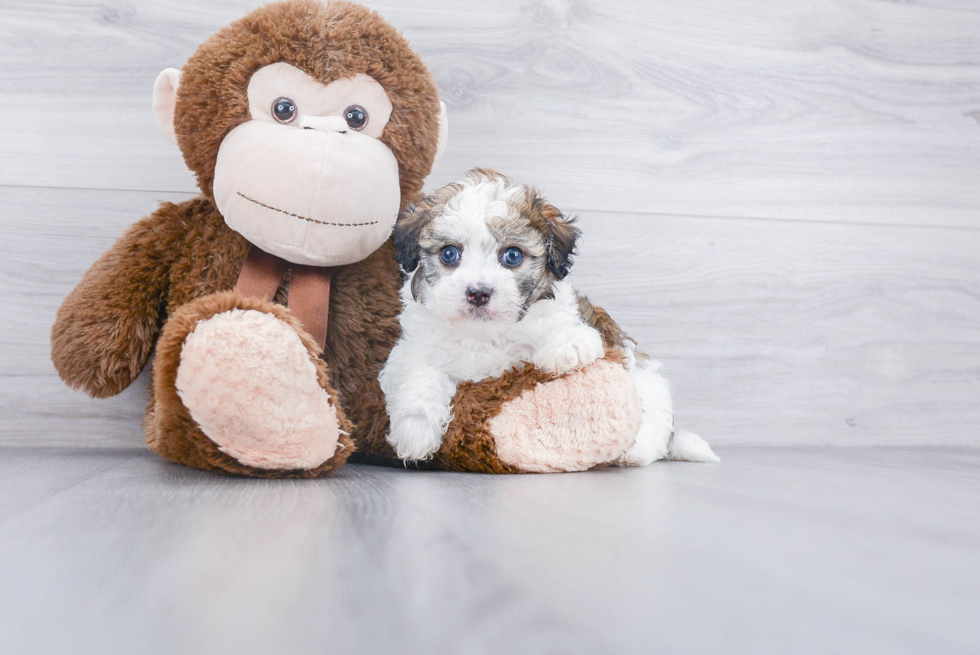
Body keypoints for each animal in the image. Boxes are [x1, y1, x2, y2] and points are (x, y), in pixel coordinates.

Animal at [378, 169, 716, 466]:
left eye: (512, 255)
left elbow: (567, 331)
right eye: (449, 253)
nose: (478, 293)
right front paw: (415, 431)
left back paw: (633, 453)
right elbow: (421, 377)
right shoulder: (412, 351)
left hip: (650, 383)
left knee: (654, 427)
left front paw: (566, 346)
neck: (484, 333)